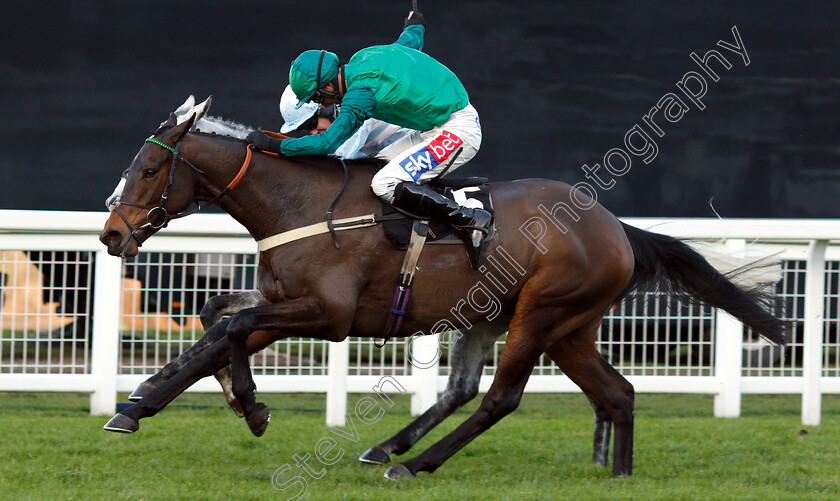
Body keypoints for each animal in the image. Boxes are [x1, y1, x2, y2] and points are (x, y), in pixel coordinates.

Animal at [100, 96, 788, 476]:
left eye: (151, 167)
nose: (111, 233)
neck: (299, 204)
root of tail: (614, 225)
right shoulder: (287, 302)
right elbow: (221, 322)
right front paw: (140, 405)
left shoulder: (329, 314)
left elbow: (233, 326)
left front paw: (248, 403)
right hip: (556, 327)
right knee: (614, 394)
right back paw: (614, 475)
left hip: (542, 314)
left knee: (500, 398)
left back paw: (410, 464)